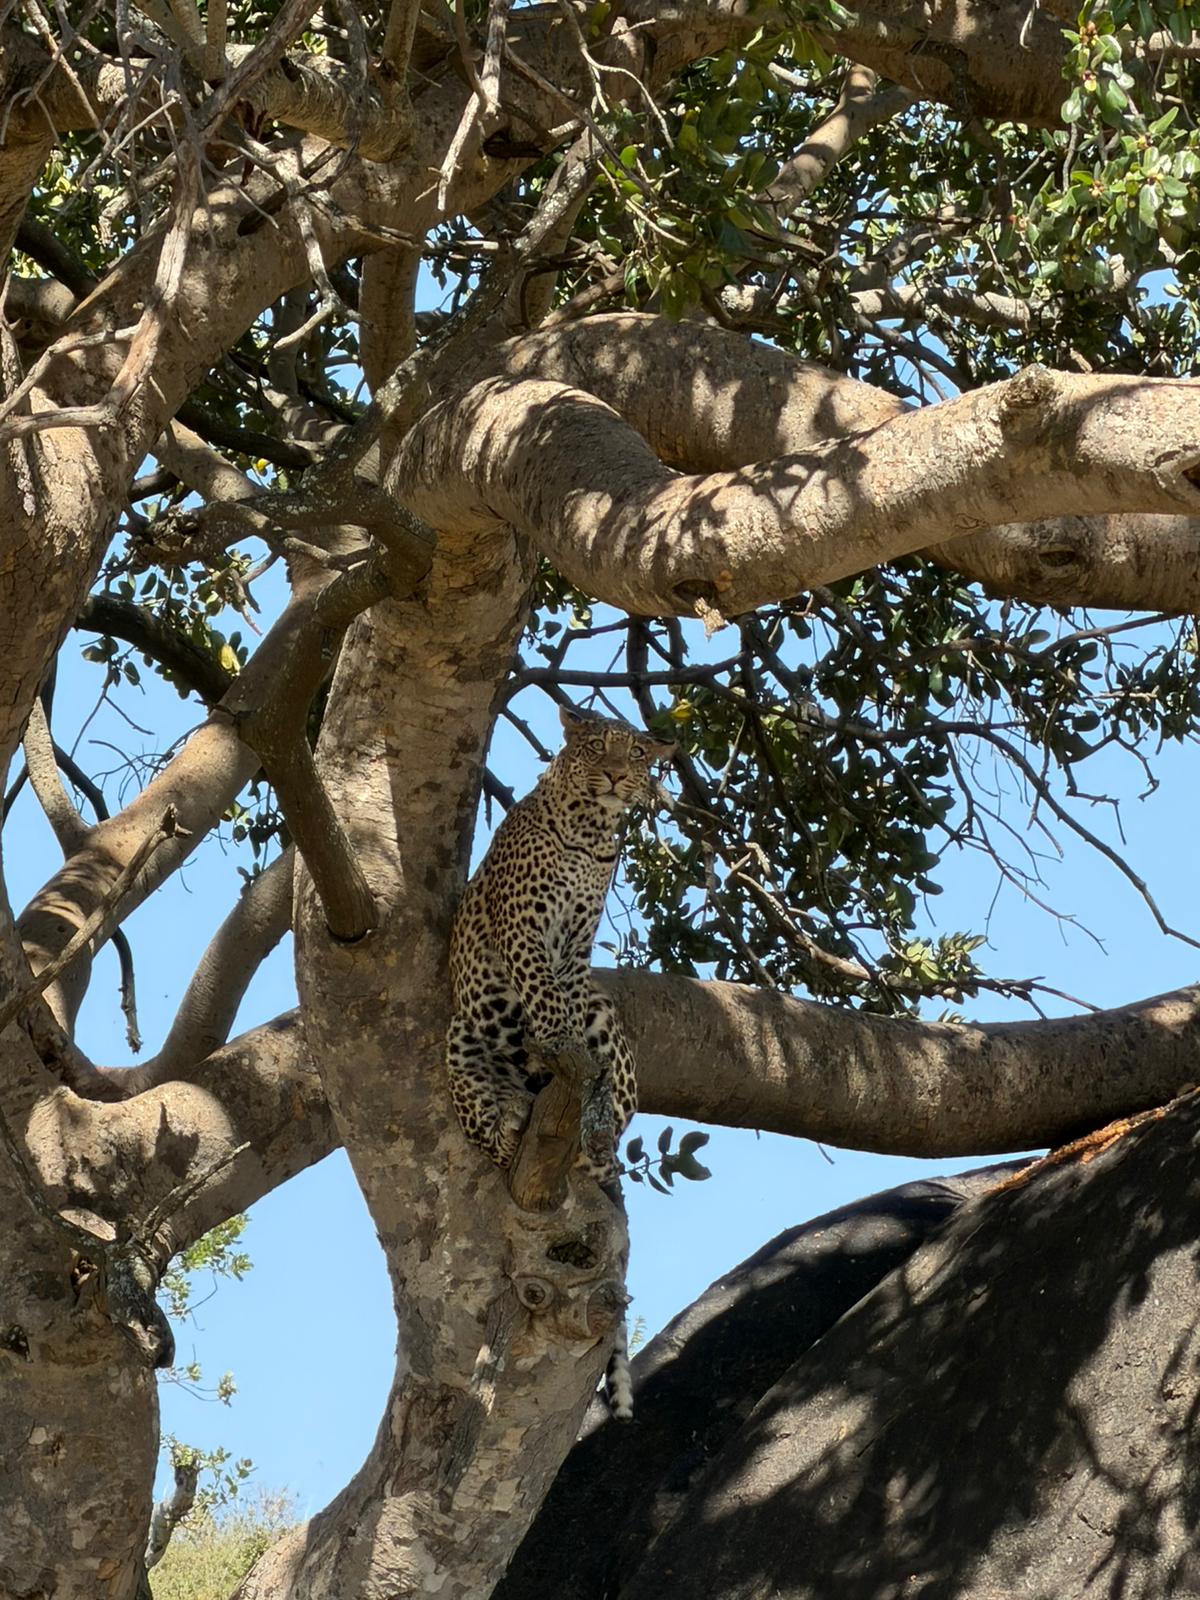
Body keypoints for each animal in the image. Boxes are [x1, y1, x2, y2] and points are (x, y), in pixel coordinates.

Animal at [446, 703, 674, 1420]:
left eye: (637, 755)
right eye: (597, 747)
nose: (616, 775)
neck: (591, 830)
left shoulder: (575, 951)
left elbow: (565, 1001)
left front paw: (570, 1052)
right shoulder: (523, 925)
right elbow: (541, 995)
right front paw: (555, 1039)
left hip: (606, 1015)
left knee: (614, 1112)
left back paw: (593, 1121)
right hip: (461, 1038)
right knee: (489, 1119)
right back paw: (514, 1117)